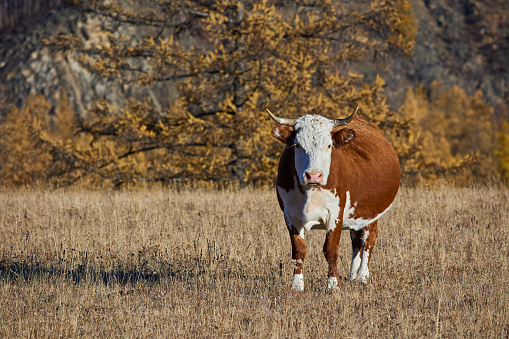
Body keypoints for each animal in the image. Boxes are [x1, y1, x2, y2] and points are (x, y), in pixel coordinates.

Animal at [268, 107, 398, 292]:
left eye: (328, 145)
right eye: (297, 145)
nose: (313, 175)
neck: (309, 193)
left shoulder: (335, 214)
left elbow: (330, 250)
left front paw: (332, 285)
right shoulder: (290, 215)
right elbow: (299, 250)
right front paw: (296, 285)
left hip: (372, 212)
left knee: (368, 240)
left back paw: (362, 276)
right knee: (356, 241)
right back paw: (352, 275)